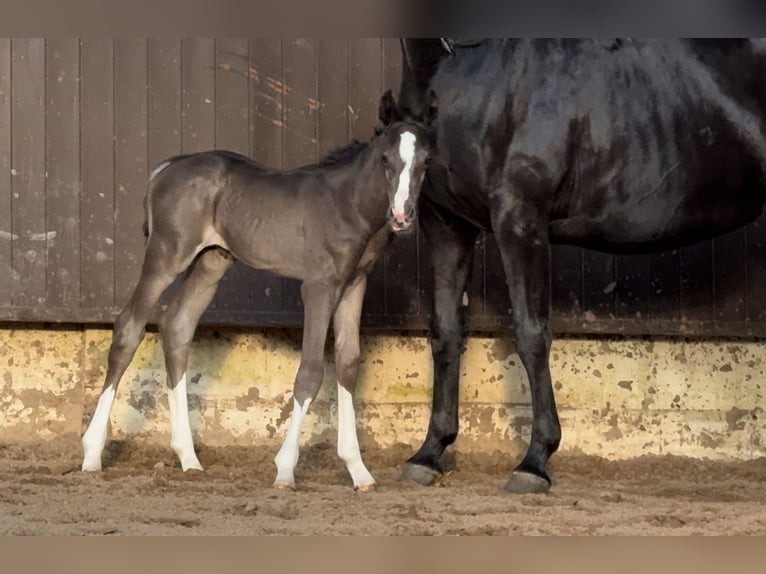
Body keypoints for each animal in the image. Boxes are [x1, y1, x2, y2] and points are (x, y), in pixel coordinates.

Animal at [82, 90, 440, 490]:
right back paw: (92, 454)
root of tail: (165, 168)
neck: (349, 204)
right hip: (167, 255)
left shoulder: (354, 284)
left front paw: (359, 470)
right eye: (385, 158)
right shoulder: (319, 286)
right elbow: (311, 371)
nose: (402, 217)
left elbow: (348, 364)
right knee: (129, 327)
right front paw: (284, 470)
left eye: (426, 160)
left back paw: (188, 458)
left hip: (211, 261)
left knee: (177, 326)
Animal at [400, 38, 766, 496]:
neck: (461, 69)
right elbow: (446, 334)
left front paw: (535, 462)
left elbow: (531, 335)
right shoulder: (447, 224)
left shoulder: (520, 220)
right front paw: (429, 453)